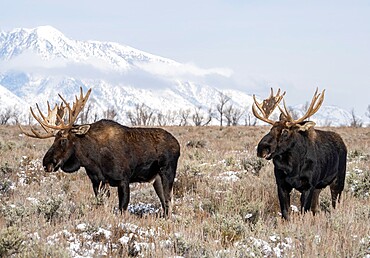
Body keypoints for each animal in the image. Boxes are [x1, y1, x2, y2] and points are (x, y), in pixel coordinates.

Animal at [20, 87, 181, 217]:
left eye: (63, 139)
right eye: (54, 139)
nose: (46, 162)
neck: (91, 160)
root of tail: (177, 144)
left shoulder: (123, 180)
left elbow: (122, 208)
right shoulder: (98, 181)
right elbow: (101, 204)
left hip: (167, 172)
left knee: (169, 201)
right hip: (156, 179)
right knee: (165, 203)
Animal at [251, 88, 346, 220]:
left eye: (285, 131)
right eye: (271, 129)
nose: (262, 148)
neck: (293, 167)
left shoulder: (308, 186)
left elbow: (303, 213)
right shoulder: (282, 185)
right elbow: (285, 213)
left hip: (338, 181)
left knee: (335, 204)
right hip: (318, 188)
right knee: (316, 208)